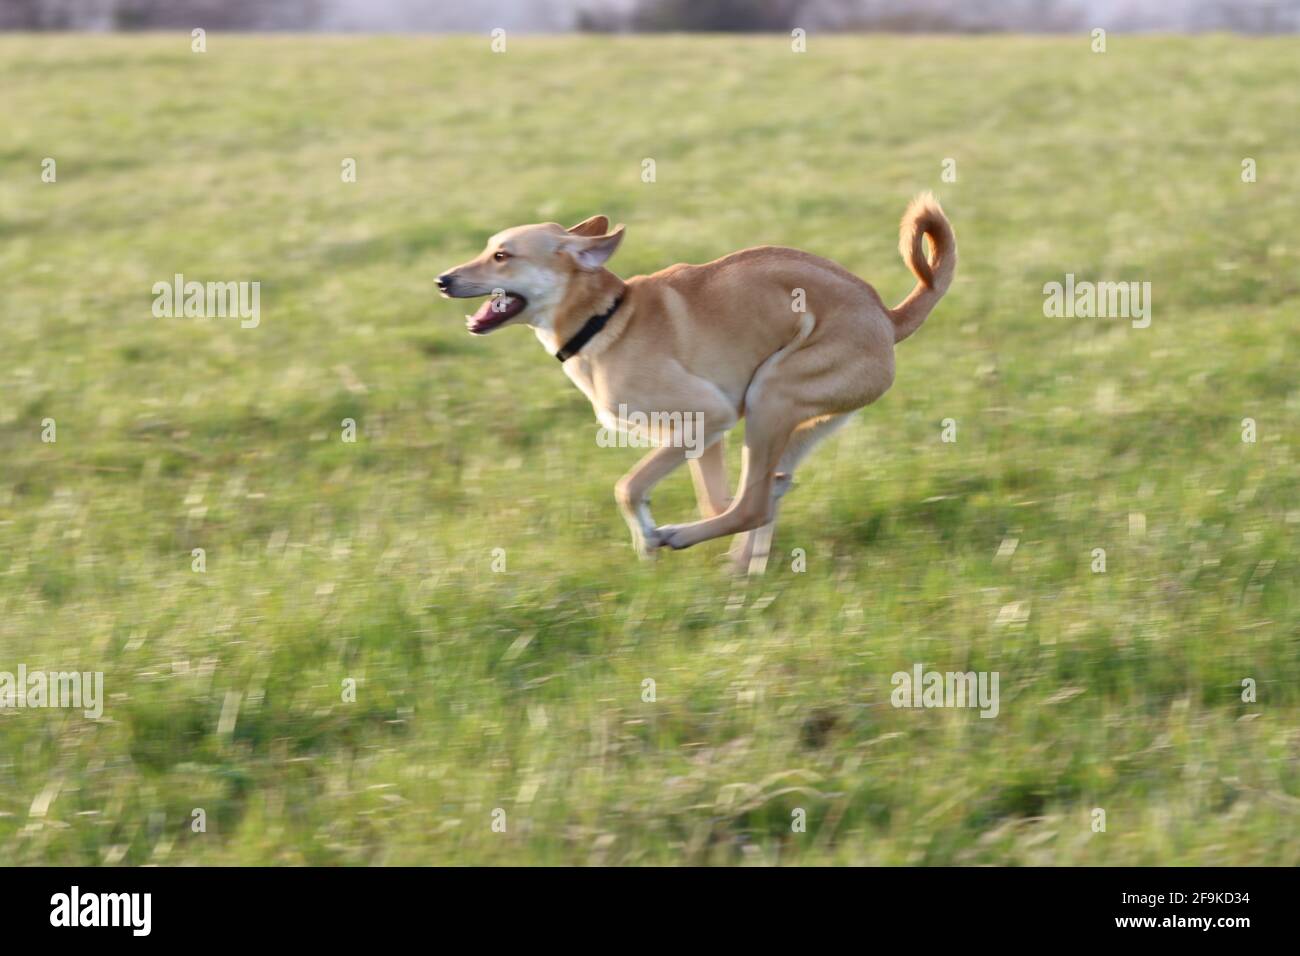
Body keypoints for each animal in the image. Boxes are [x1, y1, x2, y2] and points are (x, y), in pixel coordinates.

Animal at [436, 191, 956, 572]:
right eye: (488, 249)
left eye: (501, 255)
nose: (442, 280)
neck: (606, 319)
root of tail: (888, 317)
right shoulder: (700, 437)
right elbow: (712, 498)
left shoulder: (708, 417)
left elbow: (628, 487)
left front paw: (648, 539)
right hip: (793, 416)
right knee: (758, 497)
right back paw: (742, 567)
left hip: (770, 396)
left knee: (752, 507)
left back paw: (682, 539)